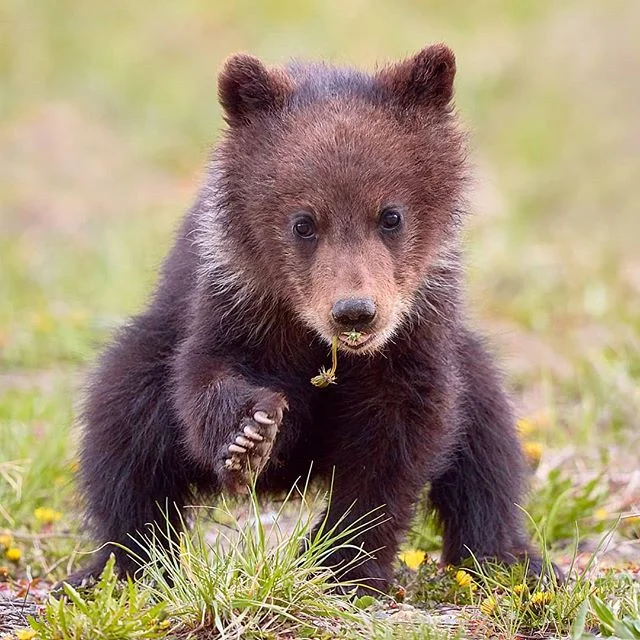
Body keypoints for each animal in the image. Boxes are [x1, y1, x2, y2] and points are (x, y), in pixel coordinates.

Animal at [67, 44, 541, 592]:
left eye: (391, 215)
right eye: (303, 222)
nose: (354, 313)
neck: (309, 333)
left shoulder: (414, 336)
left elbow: (395, 442)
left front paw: (344, 563)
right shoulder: (234, 301)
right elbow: (202, 375)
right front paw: (248, 434)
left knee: (488, 439)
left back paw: (509, 559)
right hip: (148, 351)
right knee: (122, 424)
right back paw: (121, 567)